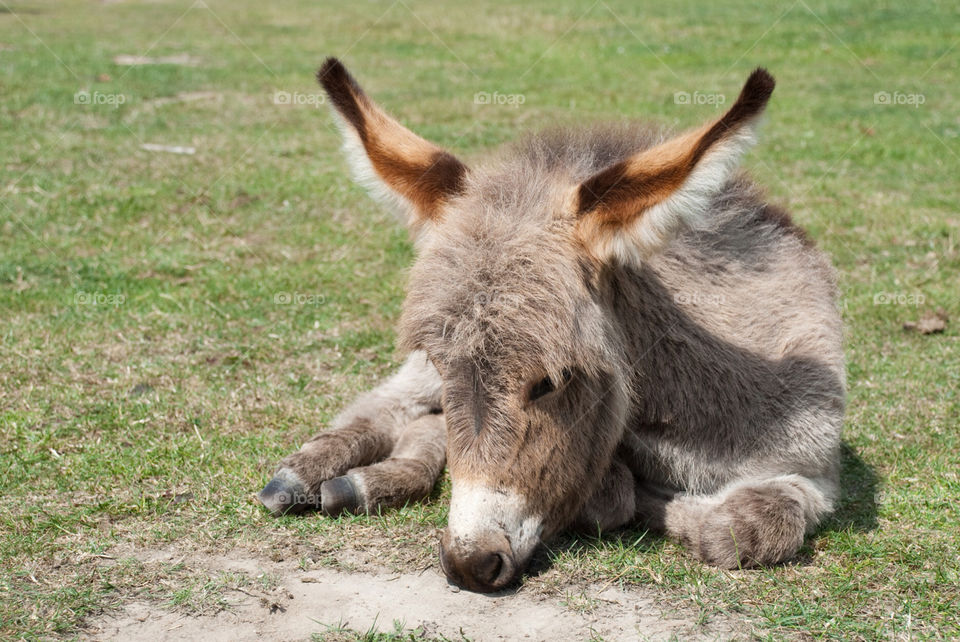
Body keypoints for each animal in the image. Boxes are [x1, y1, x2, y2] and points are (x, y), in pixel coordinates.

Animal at [258, 58, 844, 592]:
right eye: (447, 368)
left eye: (551, 382)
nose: (470, 566)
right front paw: (623, 489)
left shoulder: (815, 468)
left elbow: (745, 528)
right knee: (390, 404)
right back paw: (311, 475)